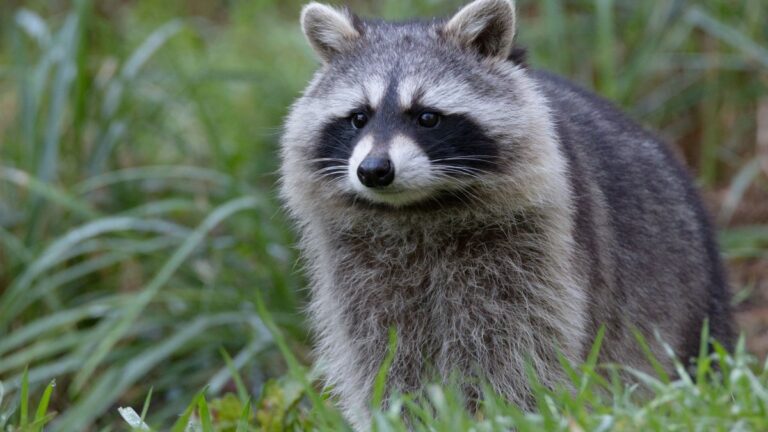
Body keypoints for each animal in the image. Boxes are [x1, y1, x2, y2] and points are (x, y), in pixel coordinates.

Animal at [279, 0, 734, 427]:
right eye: (359, 117)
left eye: (427, 117)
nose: (374, 170)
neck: (418, 209)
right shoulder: (360, 266)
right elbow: (381, 348)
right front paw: (400, 415)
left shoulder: (533, 248)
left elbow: (516, 344)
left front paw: (503, 414)